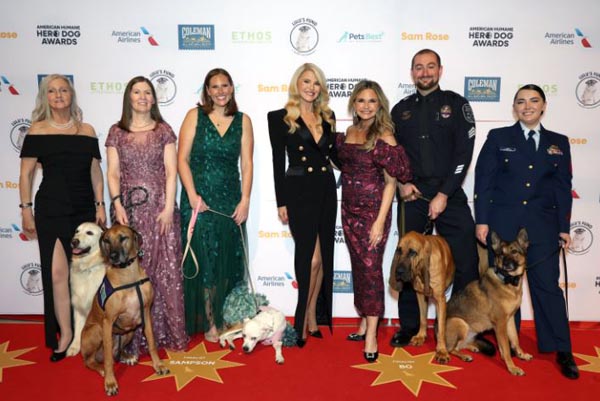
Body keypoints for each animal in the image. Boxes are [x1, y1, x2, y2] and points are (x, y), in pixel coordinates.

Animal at [79, 223, 169, 396]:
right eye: (106, 240)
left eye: (123, 238)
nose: (113, 256)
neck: (128, 276)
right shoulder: (108, 322)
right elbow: (108, 359)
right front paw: (110, 382)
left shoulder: (146, 314)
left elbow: (152, 343)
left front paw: (158, 365)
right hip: (96, 330)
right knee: (91, 360)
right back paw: (100, 368)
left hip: (129, 332)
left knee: (115, 353)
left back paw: (126, 356)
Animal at [442, 228, 532, 376]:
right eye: (501, 254)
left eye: (514, 252)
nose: (506, 264)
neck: (507, 281)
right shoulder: (500, 324)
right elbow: (506, 348)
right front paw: (512, 367)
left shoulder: (509, 320)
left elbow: (515, 340)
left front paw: (521, 355)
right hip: (459, 322)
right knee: (450, 349)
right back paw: (464, 356)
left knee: (460, 346)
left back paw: (471, 348)